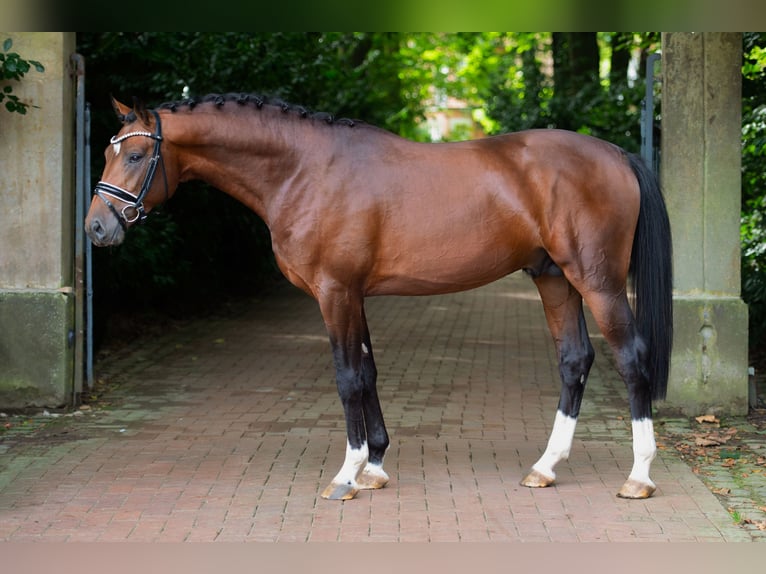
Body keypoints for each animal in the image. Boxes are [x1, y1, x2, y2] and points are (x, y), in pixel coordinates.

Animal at [85, 94, 672, 500]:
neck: (305, 170)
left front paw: (346, 475)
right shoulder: (355, 295)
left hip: (597, 281)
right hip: (553, 278)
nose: (96, 228)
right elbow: (366, 373)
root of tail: (615, 153)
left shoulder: (335, 293)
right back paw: (545, 467)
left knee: (632, 359)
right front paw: (375, 466)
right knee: (574, 360)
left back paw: (639, 476)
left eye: (135, 154)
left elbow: (347, 378)